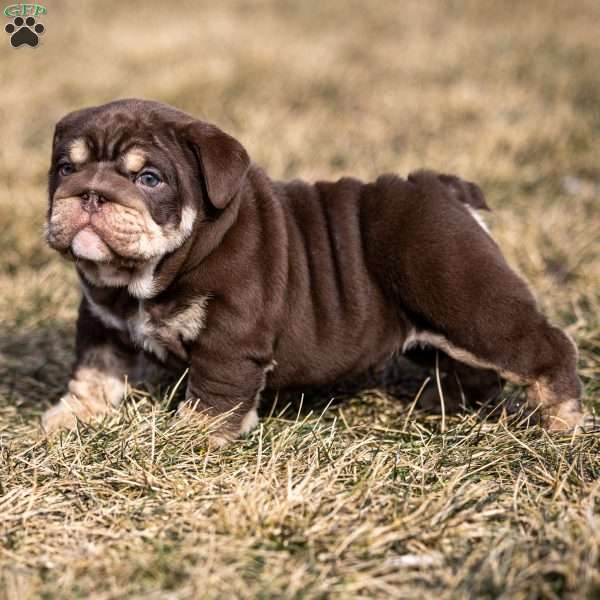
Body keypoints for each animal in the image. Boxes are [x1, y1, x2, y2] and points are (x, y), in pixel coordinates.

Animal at [42, 98, 580, 440]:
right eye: (66, 169)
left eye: (149, 179)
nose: (90, 193)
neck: (139, 279)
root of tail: (445, 190)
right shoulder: (101, 323)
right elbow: (94, 371)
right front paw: (70, 418)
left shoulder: (229, 339)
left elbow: (214, 394)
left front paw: (190, 439)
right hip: (439, 325)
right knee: (472, 369)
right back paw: (452, 407)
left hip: (469, 300)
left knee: (546, 348)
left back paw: (563, 422)